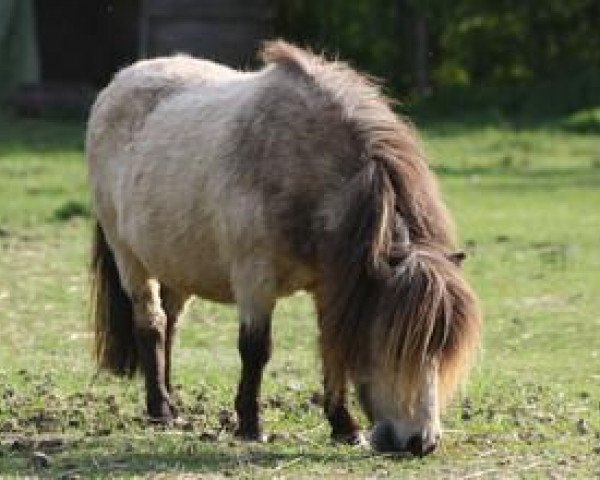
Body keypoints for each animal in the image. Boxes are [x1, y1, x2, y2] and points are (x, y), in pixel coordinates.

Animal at [89, 40, 480, 454]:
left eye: (439, 348)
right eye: (394, 343)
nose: (421, 442)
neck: (303, 168)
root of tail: (119, 82)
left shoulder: (331, 285)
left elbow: (330, 348)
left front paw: (344, 427)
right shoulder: (255, 281)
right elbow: (255, 350)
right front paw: (250, 425)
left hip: (176, 264)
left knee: (171, 323)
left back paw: (172, 403)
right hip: (130, 258)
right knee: (151, 324)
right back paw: (160, 410)